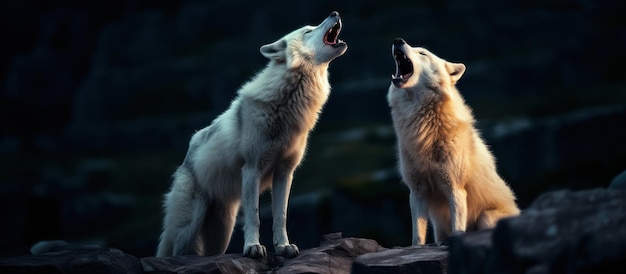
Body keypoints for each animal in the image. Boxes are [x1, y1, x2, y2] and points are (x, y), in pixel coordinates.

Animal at [155, 11, 346, 260]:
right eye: (308, 30)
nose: (335, 12)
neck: (287, 102)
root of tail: (186, 157)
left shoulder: (284, 173)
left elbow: (280, 216)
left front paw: (284, 247)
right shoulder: (251, 170)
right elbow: (254, 216)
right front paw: (253, 247)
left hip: (222, 232)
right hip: (189, 226)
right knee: (177, 251)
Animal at [386, 38, 516, 244]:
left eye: (423, 53)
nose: (398, 40)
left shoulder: (455, 189)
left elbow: (458, 227)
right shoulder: (417, 191)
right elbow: (418, 236)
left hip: (486, 217)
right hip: (439, 228)